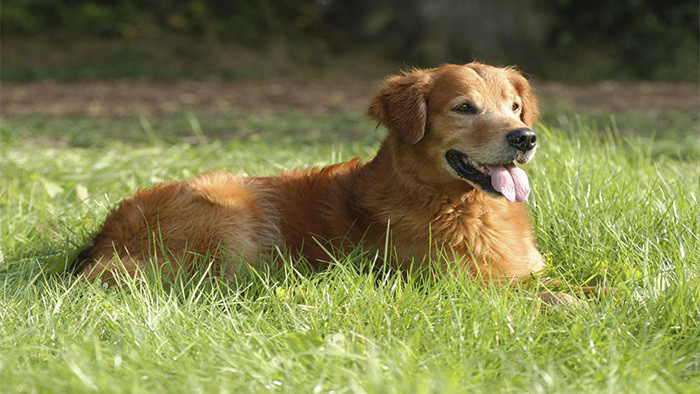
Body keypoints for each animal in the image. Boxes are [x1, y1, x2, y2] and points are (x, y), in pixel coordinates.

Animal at [76, 63, 588, 304]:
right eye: (465, 108)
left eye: (514, 107)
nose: (525, 137)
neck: (457, 203)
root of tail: (103, 239)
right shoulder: (455, 286)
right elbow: (547, 296)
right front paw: (573, 305)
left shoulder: (527, 269)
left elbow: (583, 284)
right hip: (233, 207)